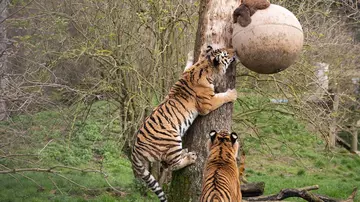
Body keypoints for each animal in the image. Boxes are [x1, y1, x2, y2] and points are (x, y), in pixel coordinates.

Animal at [131, 46, 238, 201]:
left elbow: (189, 63)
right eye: (226, 53)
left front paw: (193, 54)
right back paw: (190, 157)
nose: (234, 50)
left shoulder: (186, 70)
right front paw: (233, 93)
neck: (204, 66)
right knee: (171, 166)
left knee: (167, 163)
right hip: (172, 138)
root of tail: (135, 150)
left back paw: (185, 152)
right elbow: (222, 97)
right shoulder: (208, 104)